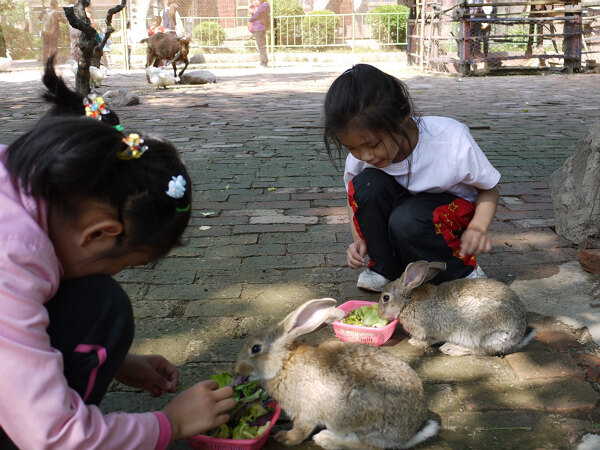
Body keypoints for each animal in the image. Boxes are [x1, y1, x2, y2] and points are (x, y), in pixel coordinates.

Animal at [236, 298, 440, 450]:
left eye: (256, 348)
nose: (237, 370)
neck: (284, 362)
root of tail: (410, 434)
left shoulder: (305, 411)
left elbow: (300, 430)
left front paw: (284, 437)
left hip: (356, 415)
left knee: (366, 446)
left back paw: (326, 439)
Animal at [378, 260, 536, 356]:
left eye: (385, 298)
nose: (380, 314)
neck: (408, 303)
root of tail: (519, 336)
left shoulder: (429, 331)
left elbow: (428, 341)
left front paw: (414, 342)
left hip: (488, 334)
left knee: (480, 350)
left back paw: (450, 348)